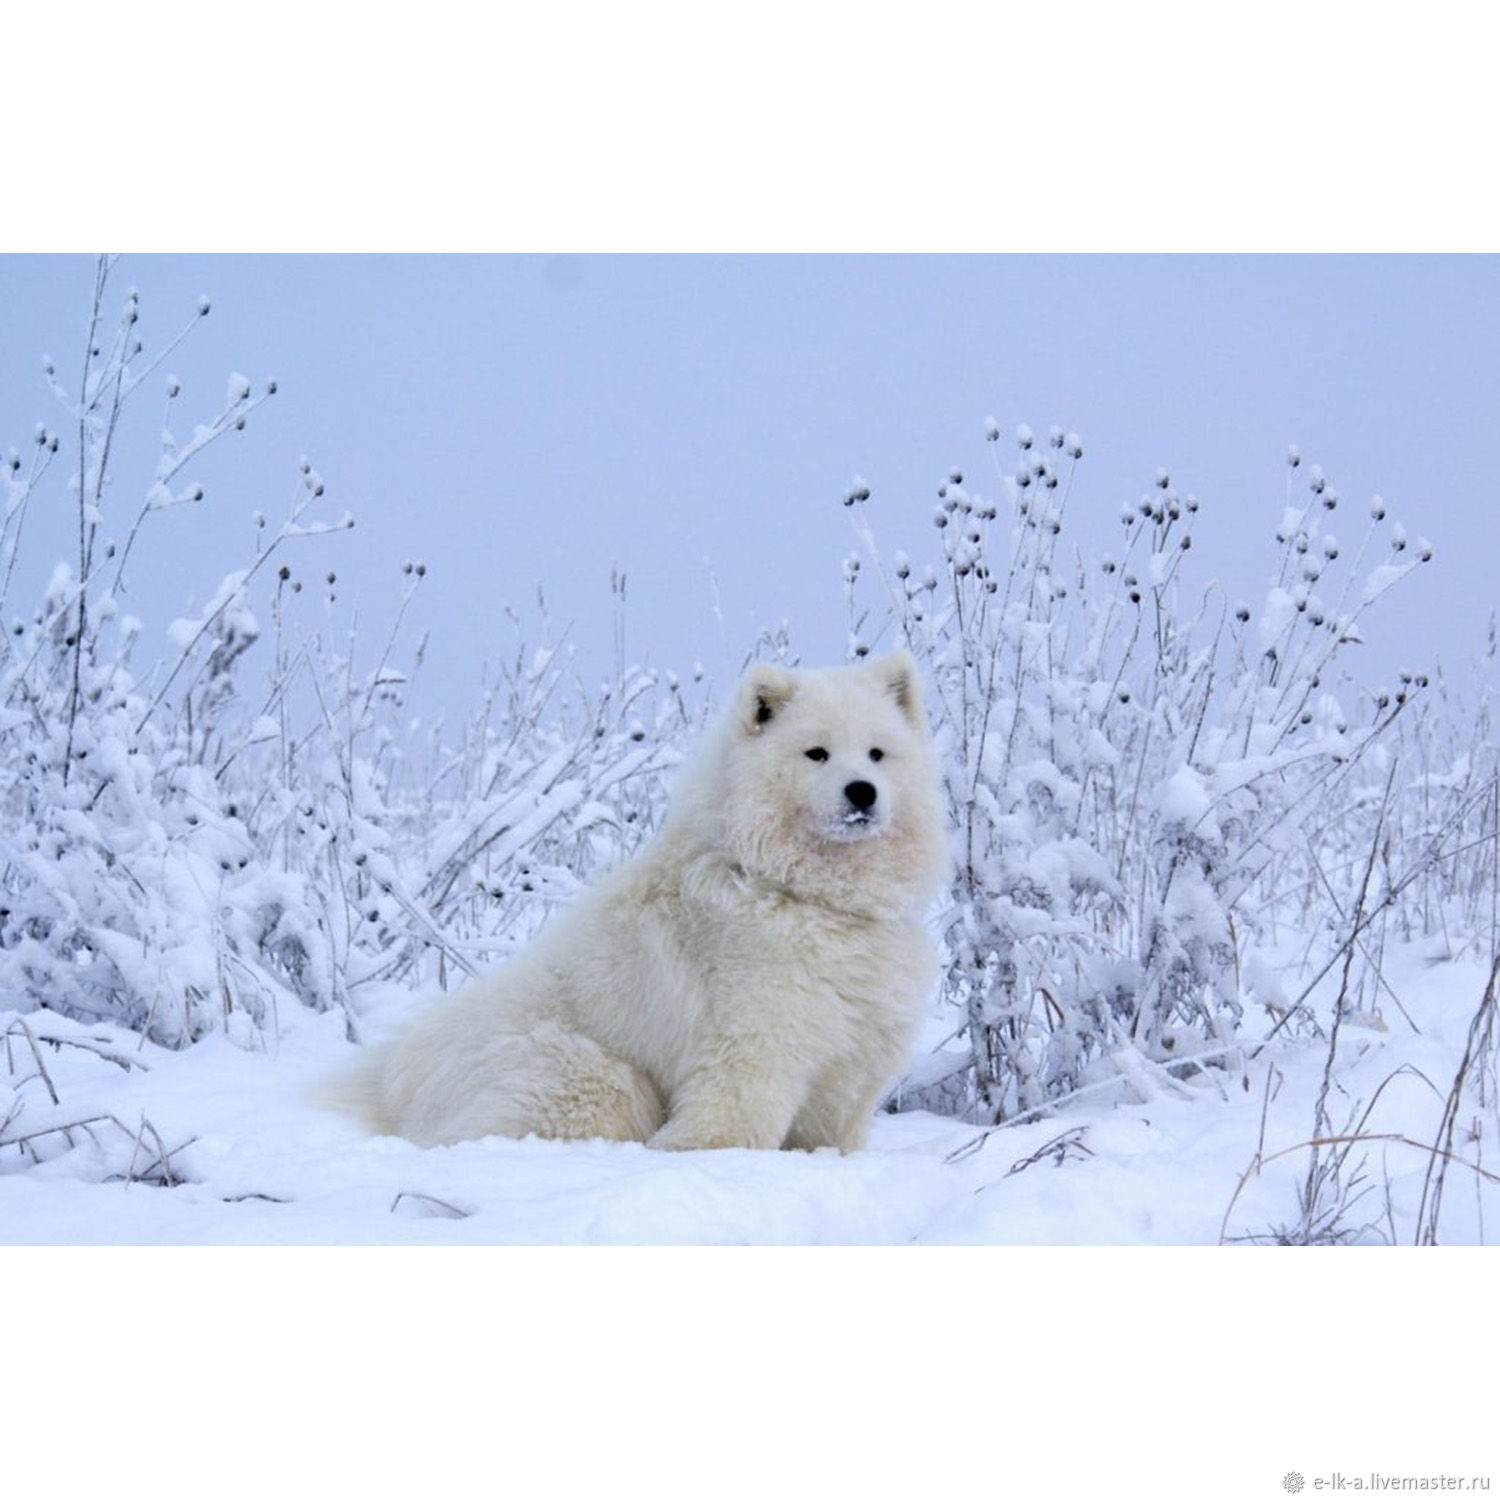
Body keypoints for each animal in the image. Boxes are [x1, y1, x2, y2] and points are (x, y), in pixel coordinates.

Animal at [340, 651, 948, 1152]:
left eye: (877, 753)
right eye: (816, 753)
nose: (862, 792)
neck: (802, 896)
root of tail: (394, 1079)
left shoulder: (853, 1062)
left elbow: (835, 1135)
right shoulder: (755, 1047)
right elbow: (732, 1126)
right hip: (595, 1075)